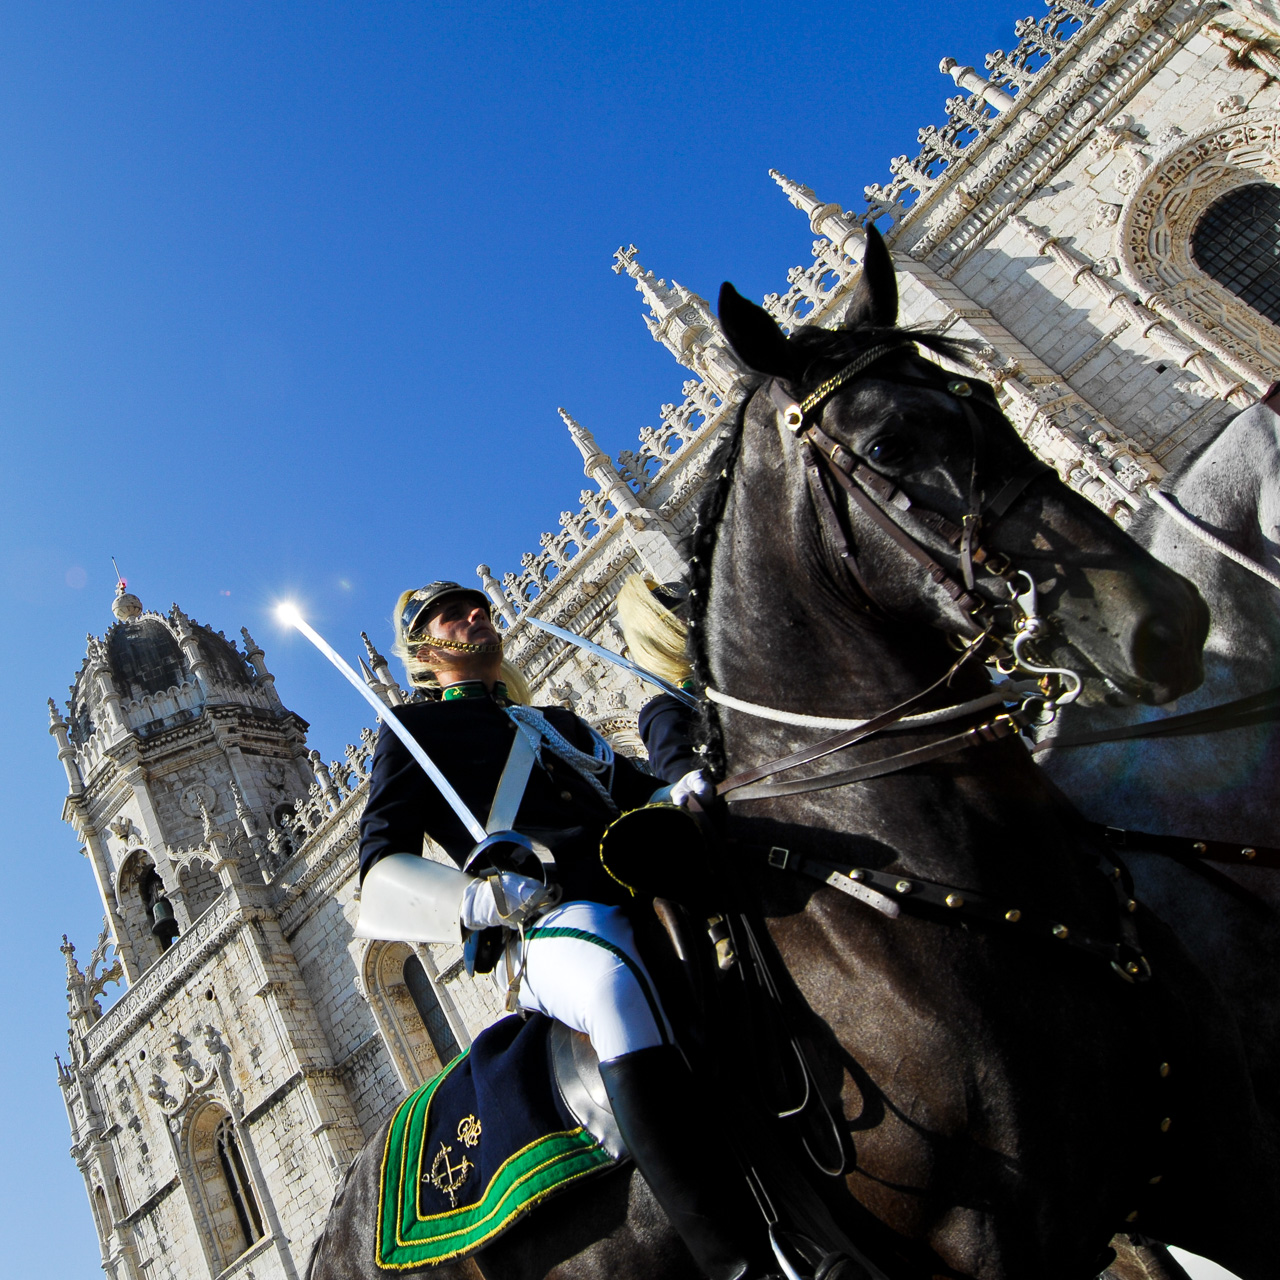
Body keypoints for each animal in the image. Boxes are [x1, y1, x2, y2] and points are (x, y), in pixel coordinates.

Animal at [307, 232, 1269, 1280]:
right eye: (886, 447)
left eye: (980, 396)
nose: (1152, 620)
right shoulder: (989, 1242)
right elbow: (386, 850)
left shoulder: (1207, 1160)